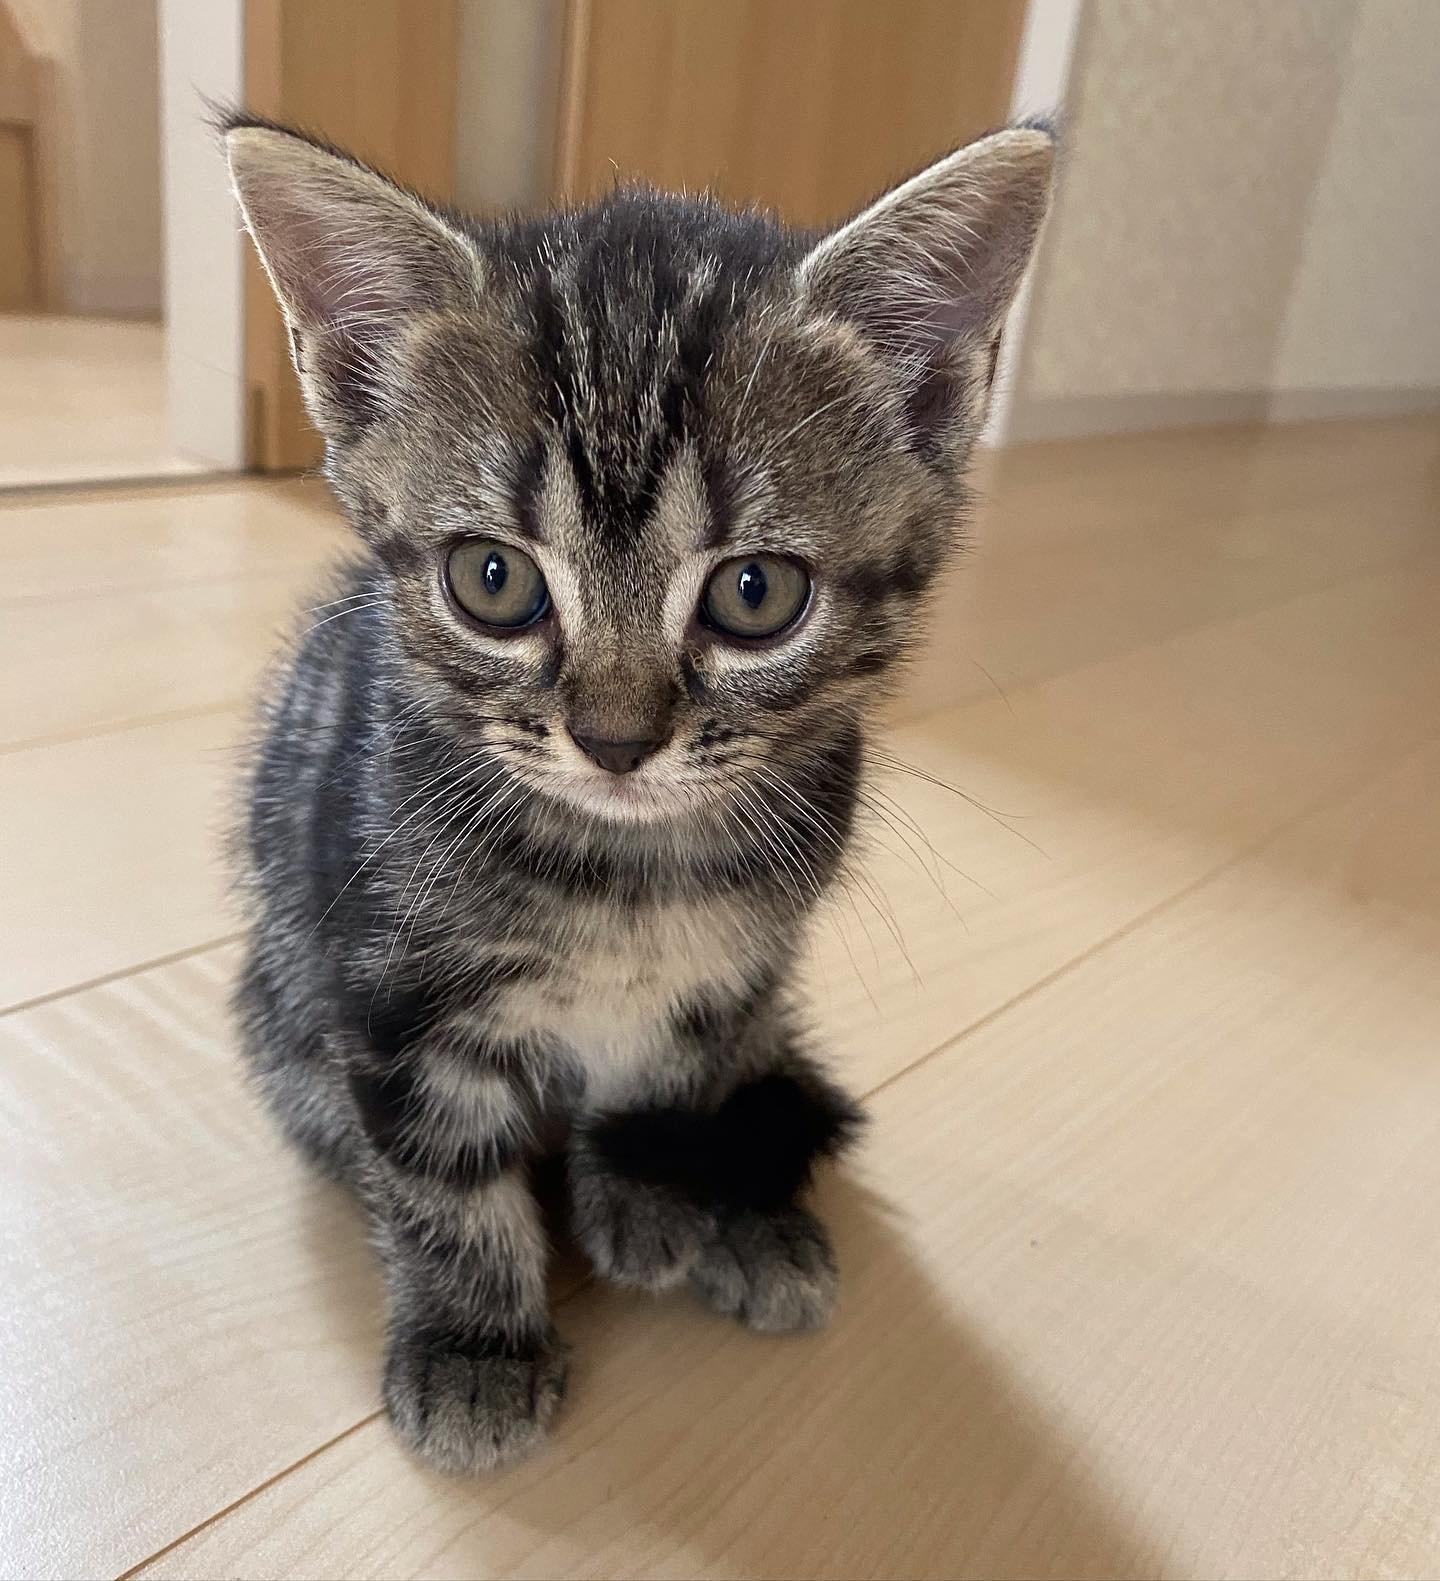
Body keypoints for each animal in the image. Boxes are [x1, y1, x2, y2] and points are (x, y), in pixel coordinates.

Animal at [227, 108, 1055, 1467]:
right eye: (494, 579)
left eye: (757, 594)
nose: (614, 741)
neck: (628, 872)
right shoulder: (387, 990)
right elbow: (445, 1182)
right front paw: (475, 1344)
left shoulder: (738, 970)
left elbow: (674, 1076)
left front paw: (648, 1189)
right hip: (279, 1001)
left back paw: (755, 1221)